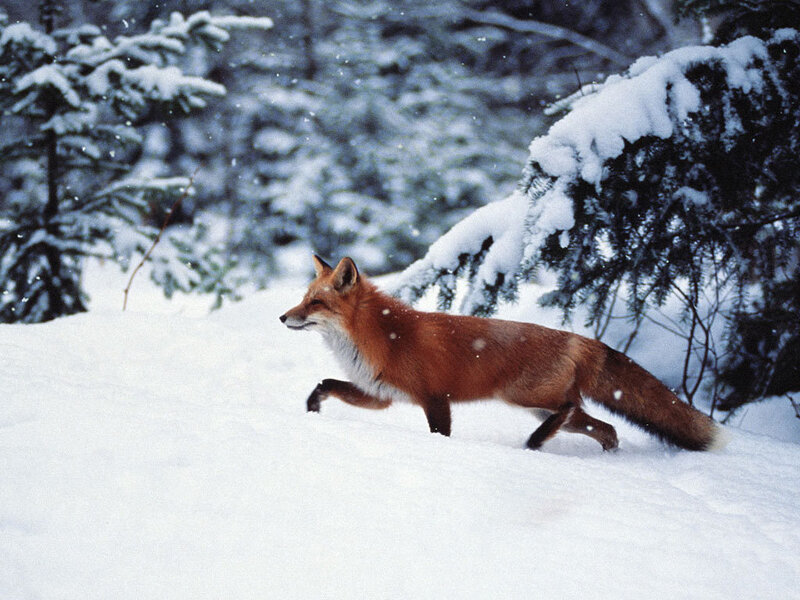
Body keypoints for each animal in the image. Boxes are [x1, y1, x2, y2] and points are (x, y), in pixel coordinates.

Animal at [280, 255, 725, 452]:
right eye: (304, 298)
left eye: (315, 303)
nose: (283, 317)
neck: (384, 335)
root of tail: (579, 338)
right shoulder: (380, 396)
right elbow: (325, 384)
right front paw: (312, 409)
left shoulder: (435, 398)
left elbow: (440, 435)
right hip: (541, 405)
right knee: (606, 428)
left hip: (524, 397)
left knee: (570, 411)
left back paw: (535, 443)